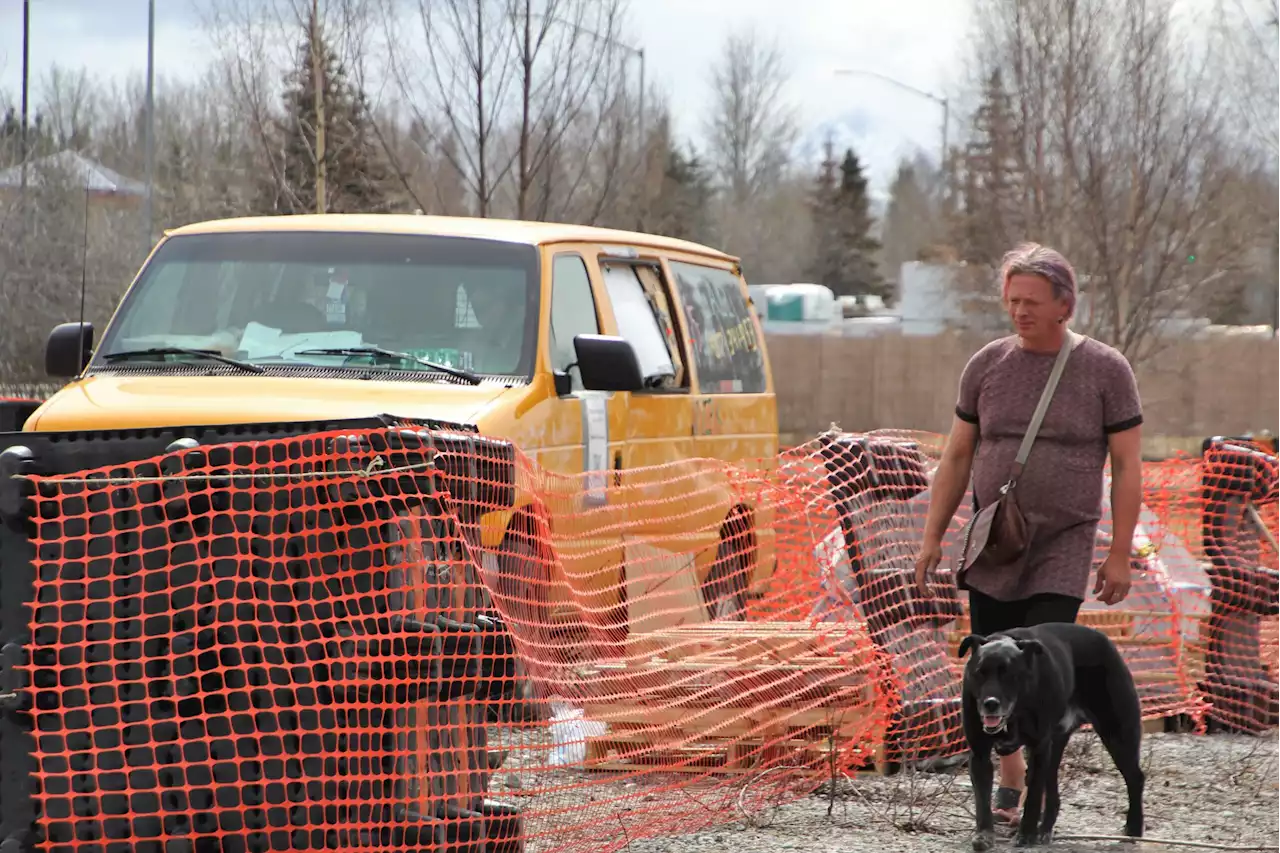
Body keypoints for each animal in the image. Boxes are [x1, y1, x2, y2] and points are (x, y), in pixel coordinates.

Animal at [957, 622, 1146, 845]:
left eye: (1009, 675)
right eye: (980, 672)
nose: (990, 703)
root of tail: (1106, 641)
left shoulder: (1039, 748)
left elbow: (1033, 795)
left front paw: (1026, 834)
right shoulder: (980, 754)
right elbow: (982, 800)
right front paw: (984, 835)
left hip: (1117, 734)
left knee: (1135, 778)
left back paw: (1134, 827)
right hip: (1056, 745)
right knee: (1053, 793)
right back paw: (1045, 829)